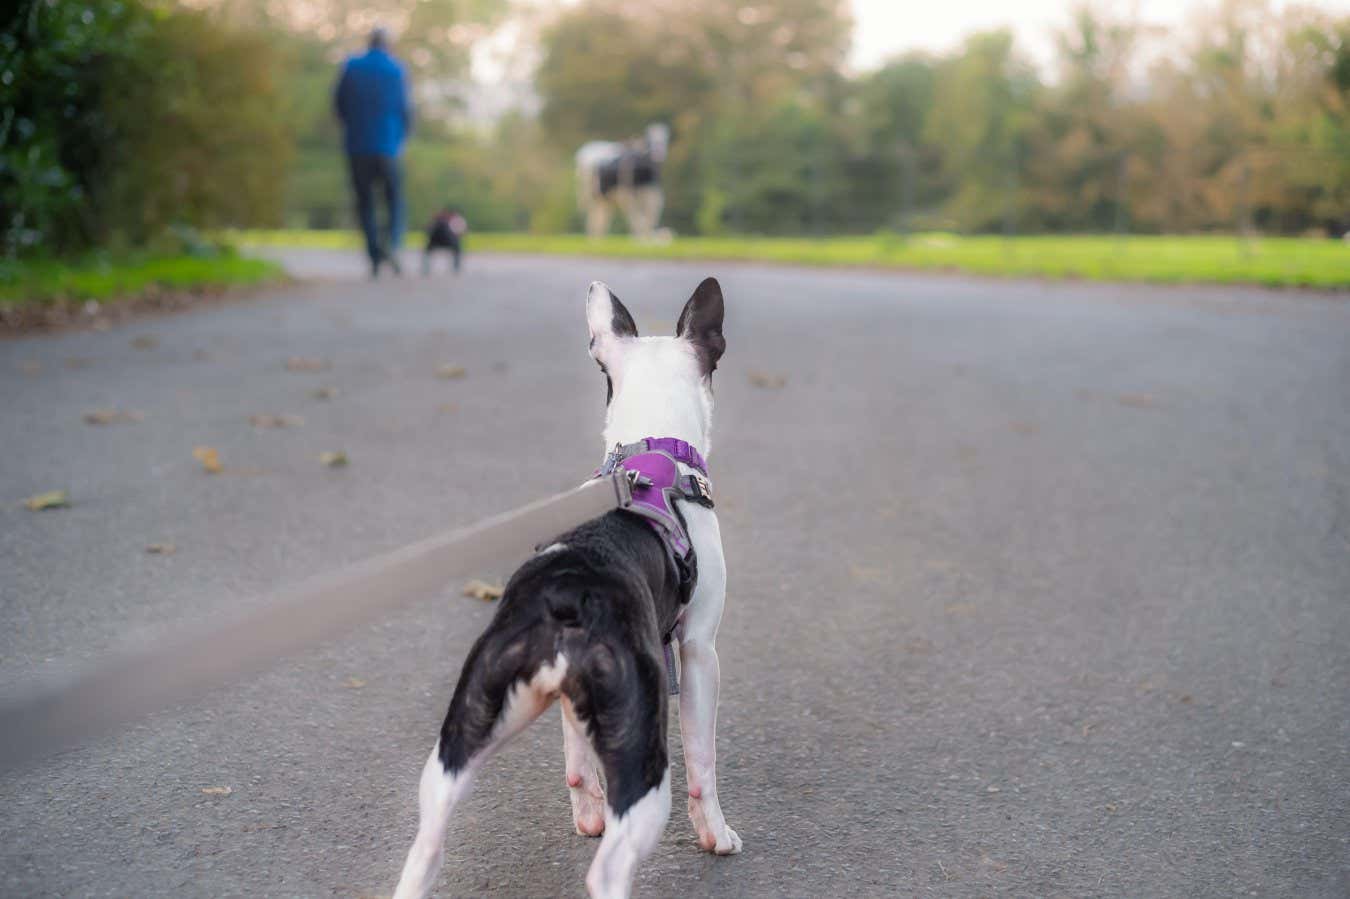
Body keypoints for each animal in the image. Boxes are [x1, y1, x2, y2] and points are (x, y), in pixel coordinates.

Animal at [394, 276, 745, 890]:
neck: (653, 452)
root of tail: (563, 599)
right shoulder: (700, 650)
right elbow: (704, 761)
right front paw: (716, 835)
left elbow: (575, 758)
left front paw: (587, 814)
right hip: (643, 759)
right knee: (609, 870)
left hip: (455, 747)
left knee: (425, 848)